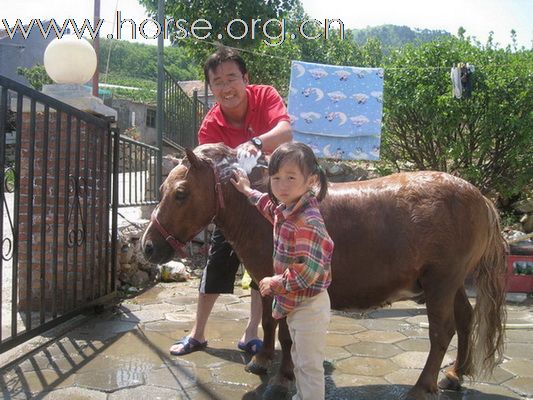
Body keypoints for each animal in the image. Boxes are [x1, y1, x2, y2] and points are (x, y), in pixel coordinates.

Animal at [141, 144, 508, 400]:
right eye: (162, 191)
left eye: (181, 194)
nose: (147, 247)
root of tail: (480, 198)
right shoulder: (266, 282)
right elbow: (269, 323)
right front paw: (263, 360)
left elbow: (287, 335)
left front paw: (282, 379)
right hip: (451, 283)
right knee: (465, 319)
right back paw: (455, 374)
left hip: (440, 283)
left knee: (441, 332)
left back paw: (422, 386)